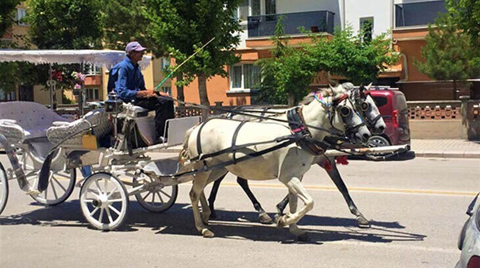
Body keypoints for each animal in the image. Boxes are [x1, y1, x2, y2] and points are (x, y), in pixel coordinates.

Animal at [180, 90, 372, 239]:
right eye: (346, 110)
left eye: (359, 107)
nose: (366, 134)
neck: (300, 132)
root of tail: (197, 128)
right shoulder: (288, 177)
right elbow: (309, 202)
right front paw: (284, 219)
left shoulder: (296, 176)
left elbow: (295, 203)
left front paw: (294, 228)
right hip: (205, 167)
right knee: (194, 193)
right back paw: (202, 227)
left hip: (216, 168)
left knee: (199, 189)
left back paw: (206, 215)